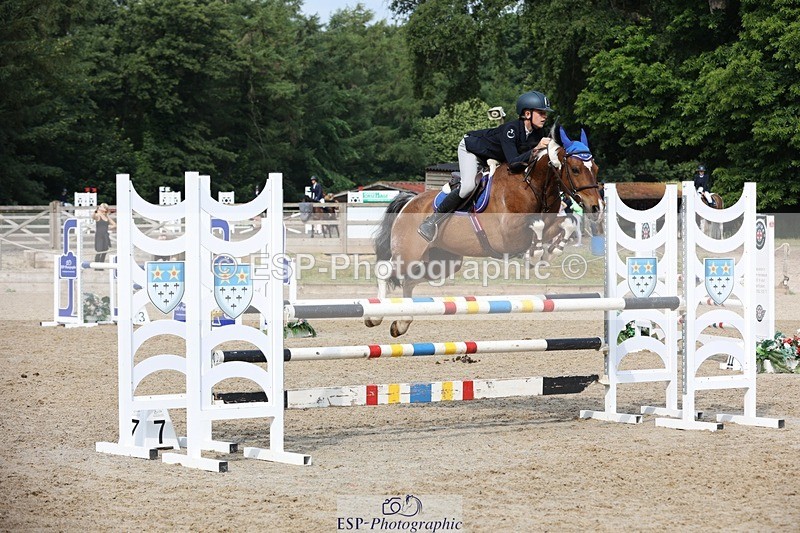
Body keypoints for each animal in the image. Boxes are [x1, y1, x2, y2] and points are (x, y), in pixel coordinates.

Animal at [366, 127, 603, 337]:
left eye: (596, 168)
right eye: (575, 169)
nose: (596, 207)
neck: (532, 185)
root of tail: (409, 201)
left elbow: (567, 223)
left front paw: (550, 251)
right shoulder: (506, 236)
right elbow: (535, 226)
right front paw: (535, 254)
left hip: (444, 261)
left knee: (410, 280)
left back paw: (402, 322)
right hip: (409, 254)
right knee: (385, 270)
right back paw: (375, 316)